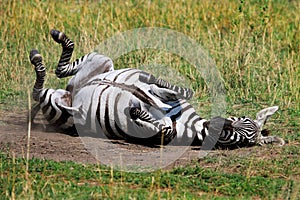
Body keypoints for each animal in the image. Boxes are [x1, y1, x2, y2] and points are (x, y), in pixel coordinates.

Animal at [29, 29, 284, 148]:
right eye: (240, 118)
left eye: (244, 141)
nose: (221, 124)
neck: (189, 124)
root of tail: (71, 93)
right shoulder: (172, 97)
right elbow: (180, 90)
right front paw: (151, 79)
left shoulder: (157, 135)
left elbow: (164, 130)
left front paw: (136, 111)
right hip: (102, 60)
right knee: (60, 70)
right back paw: (52, 43)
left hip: (60, 108)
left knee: (39, 90)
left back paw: (38, 60)